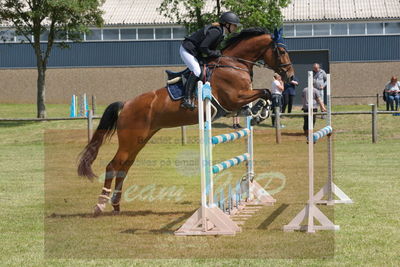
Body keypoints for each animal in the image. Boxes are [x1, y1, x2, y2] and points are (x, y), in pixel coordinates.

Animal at [77, 27, 294, 216]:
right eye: (282, 51)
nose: (290, 77)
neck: (234, 64)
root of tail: (127, 104)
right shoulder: (234, 98)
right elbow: (265, 91)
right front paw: (261, 111)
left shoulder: (238, 101)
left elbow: (263, 95)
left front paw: (258, 112)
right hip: (130, 140)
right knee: (113, 166)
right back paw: (100, 205)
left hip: (139, 140)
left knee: (124, 167)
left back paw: (116, 204)